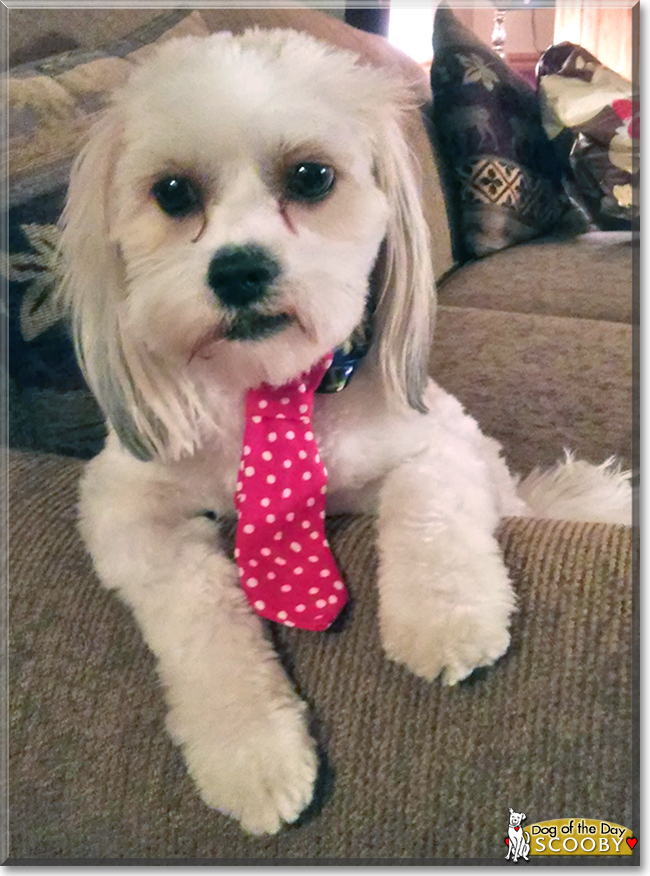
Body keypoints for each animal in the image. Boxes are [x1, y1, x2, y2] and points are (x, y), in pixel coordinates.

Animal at [57, 27, 628, 836]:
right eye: (171, 193)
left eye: (311, 176)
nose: (238, 270)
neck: (271, 389)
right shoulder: (123, 508)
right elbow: (197, 611)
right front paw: (251, 749)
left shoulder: (441, 436)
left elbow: (427, 507)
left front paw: (444, 619)